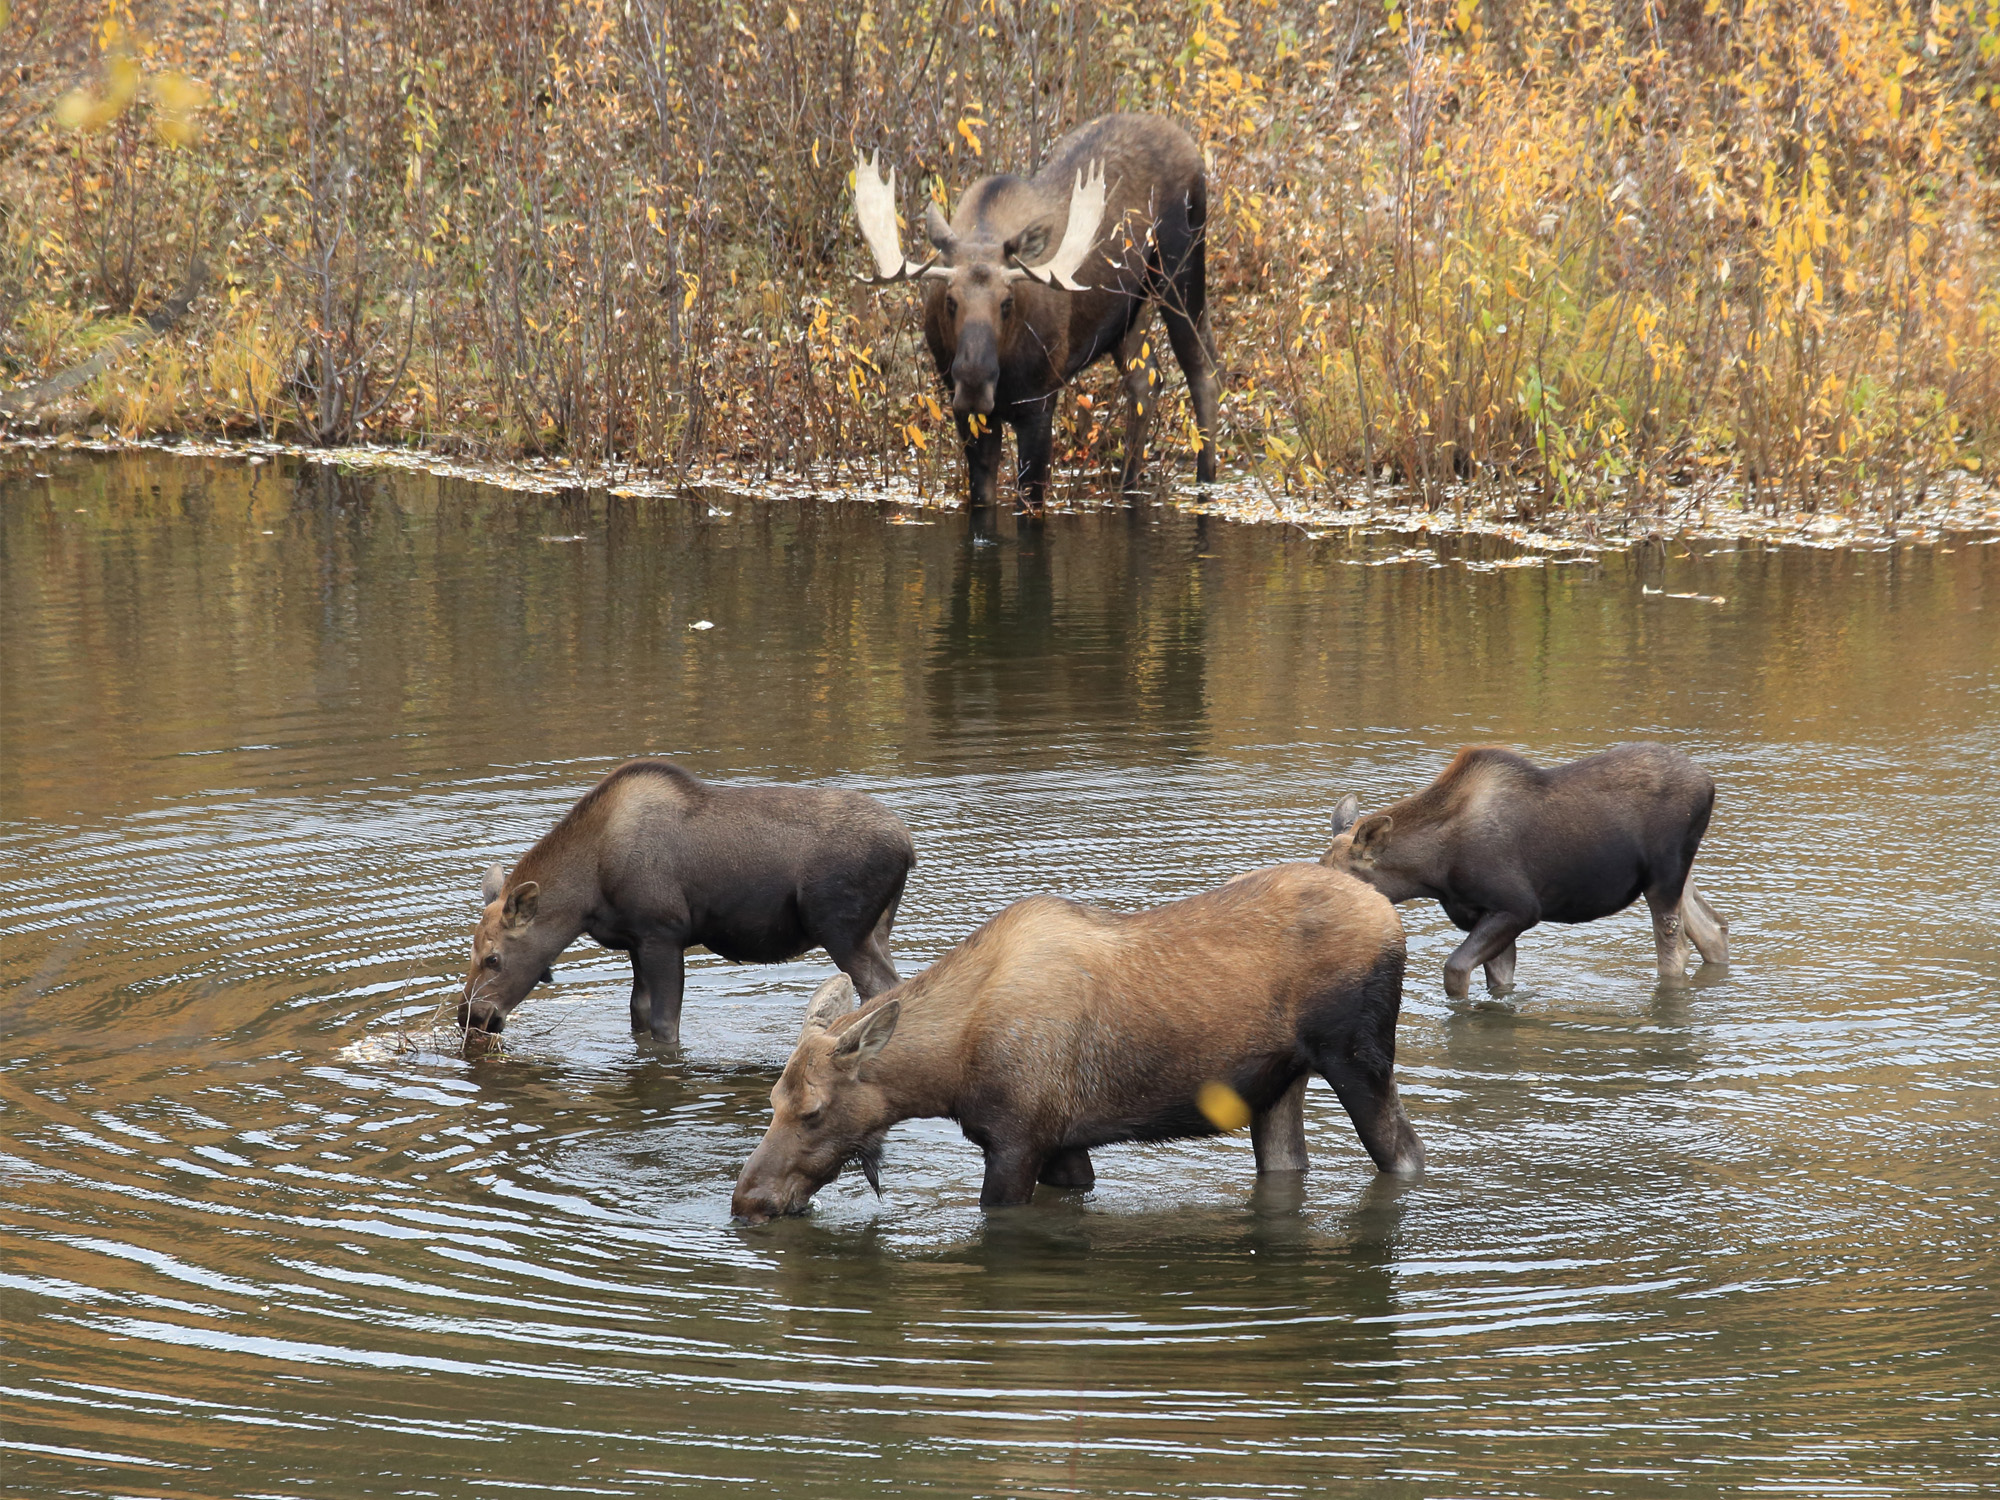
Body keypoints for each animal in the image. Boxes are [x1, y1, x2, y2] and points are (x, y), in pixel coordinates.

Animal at [460, 764, 916, 1048]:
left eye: (493, 959)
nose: (470, 1016)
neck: (586, 895)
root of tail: (908, 848)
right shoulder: (636, 941)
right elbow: (638, 1014)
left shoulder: (663, 933)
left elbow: (665, 1025)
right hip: (877, 930)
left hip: (842, 930)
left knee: (881, 990)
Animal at [728, 864, 1416, 1224]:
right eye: (773, 1102)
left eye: (813, 1111)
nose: (747, 1199)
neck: (947, 1073)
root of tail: (1393, 918)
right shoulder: (1064, 1145)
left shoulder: (1017, 1141)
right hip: (1279, 1085)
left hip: (1359, 1057)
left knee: (1406, 1153)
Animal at [848, 111, 1216, 512]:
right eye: (950, 300)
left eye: (1006, 302)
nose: (974, 380)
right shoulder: (966, 412)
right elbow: (983, 499)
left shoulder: (1039, 403)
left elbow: (1031, 502)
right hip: (1128, 312)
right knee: (1146, 379)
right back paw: (1129, 486)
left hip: (1181, 265)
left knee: (1204, 369)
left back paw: (1206, 480)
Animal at [1320, 748, 1728, 1004]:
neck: (1431, 871)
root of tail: (1709, 784)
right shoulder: (1484, 915)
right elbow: (1500, 984)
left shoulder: (1518, 907)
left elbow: (1455, 970)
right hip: (1676, 876)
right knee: (1711, 928)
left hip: (1665, 876)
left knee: (1676, 949)